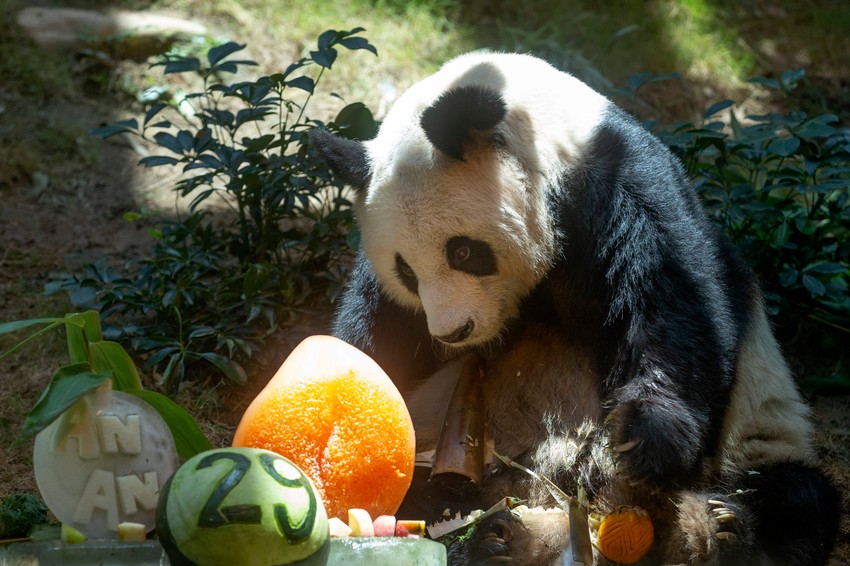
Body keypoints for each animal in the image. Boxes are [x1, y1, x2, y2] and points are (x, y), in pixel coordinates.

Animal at [311, 52, 840, 565]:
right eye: (406, 271)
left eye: (462, 252)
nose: (452, 332)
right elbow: (373, 337)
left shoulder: (622, 189)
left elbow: (673, 308)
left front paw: (644, 440)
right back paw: (492, 539)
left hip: (757, 439)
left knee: (796, 498)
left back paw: (721, 528)